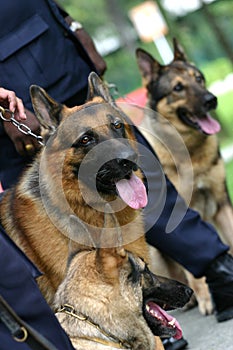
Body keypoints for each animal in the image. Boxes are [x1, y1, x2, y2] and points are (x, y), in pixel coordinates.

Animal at [136, 39, 233, 316]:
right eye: (178, 88)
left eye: (199, 79)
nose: (211, 100)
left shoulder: (222, 205)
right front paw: (205, 298)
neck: (191, 154)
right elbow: (193, 269)